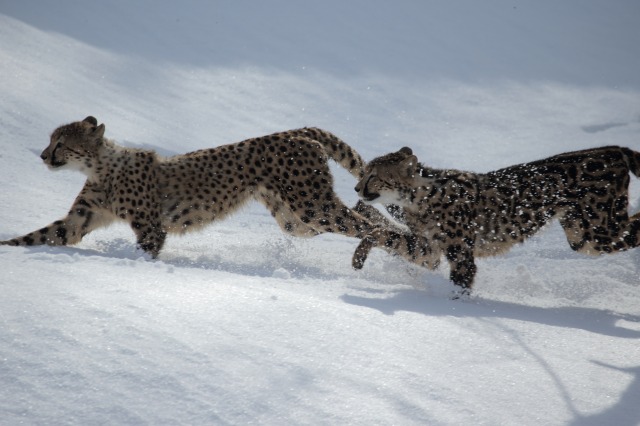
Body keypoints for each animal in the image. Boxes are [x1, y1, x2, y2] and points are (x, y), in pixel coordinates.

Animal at [2, 115, 430, 270]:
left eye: (61, 143)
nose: (43, 155)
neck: (101, 165)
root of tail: (295, 130)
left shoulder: (151, 229)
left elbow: (147, 251)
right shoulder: (79, 220)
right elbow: (43, 236)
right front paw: (7, 248)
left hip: (312, 206)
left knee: (367, 226)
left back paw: (409, 253)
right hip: (297, 220)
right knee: (365, 216)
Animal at [352, 145, 640, 294]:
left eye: (373, 176)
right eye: (365, 173)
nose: (356, 188)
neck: (419, 195)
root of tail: (612, 149)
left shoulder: (461, 257)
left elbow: (460, 286)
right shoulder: (429, 250)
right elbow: (381, 234)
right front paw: (358, 257)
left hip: (597, 232)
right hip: (581, 236)